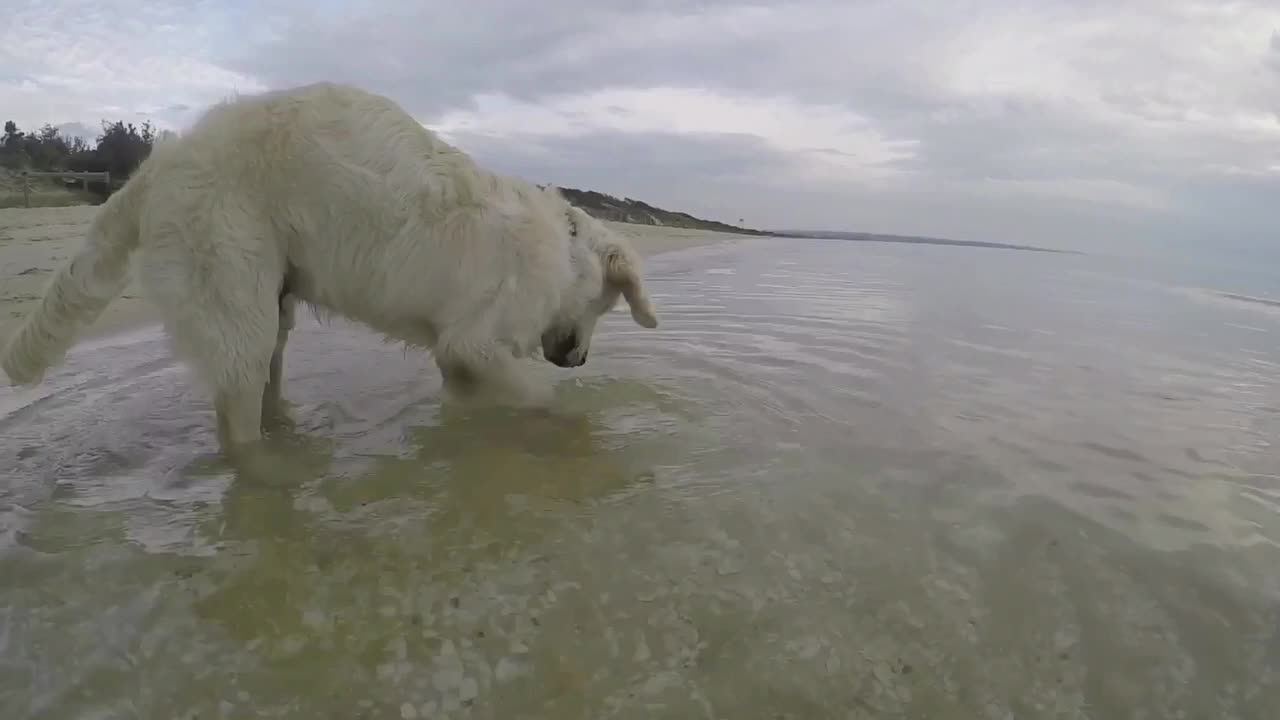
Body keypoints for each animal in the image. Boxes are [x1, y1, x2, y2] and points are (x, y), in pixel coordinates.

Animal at [0, 81, 660, 450]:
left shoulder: (459, 360)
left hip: (274, 308)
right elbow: (539, 393)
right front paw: (569, 421)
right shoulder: (472, 343)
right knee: (237, 420)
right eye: (606, 306)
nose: (579, 359)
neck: (564, 252)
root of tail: (161, 162)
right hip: (238, 302)